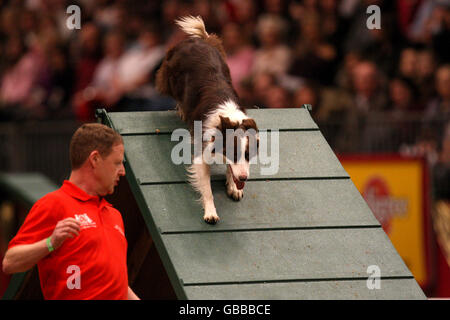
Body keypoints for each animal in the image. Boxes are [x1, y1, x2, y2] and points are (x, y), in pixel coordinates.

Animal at [156, 15, 258, 225]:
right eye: (235, 153)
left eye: (248, 154)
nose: (244, 179)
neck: (229, 117)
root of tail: (198, 40)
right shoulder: (201, 154)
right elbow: (208, 189)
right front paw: (210, 212)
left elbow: (230, 169)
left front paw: (233, 187)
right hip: (169, 79)